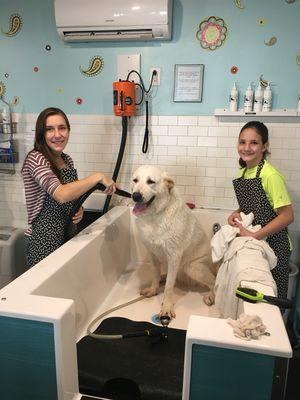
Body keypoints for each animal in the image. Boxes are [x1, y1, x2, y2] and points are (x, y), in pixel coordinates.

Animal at [131, 164, 218, 318]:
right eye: (135, 180)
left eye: (150, 182)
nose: (136, 196)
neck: (155, 215)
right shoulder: (152, 254)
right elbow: (154, 274)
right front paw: (153, 290)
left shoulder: (174, 256)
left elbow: (168, 288)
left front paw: (166, 307)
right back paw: (162, 277)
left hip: (192, 268)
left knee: (213, 282)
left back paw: (211, 296)